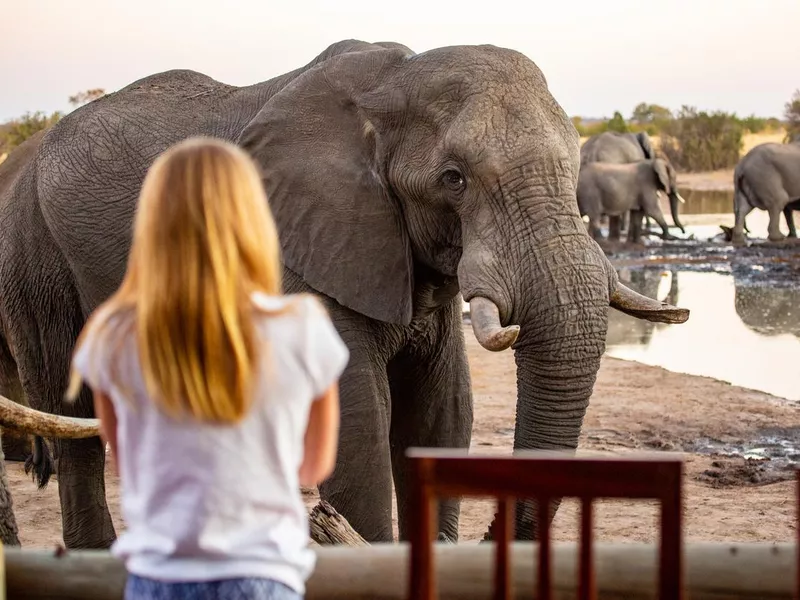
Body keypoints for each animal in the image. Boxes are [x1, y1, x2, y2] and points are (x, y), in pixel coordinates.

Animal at [0, 37, 688, 548]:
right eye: (453, 179)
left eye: (574, 166)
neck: (390, 85)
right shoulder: (303, 245)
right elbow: (359, 428)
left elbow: (439, 412)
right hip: (35, 253)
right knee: (69, 400)